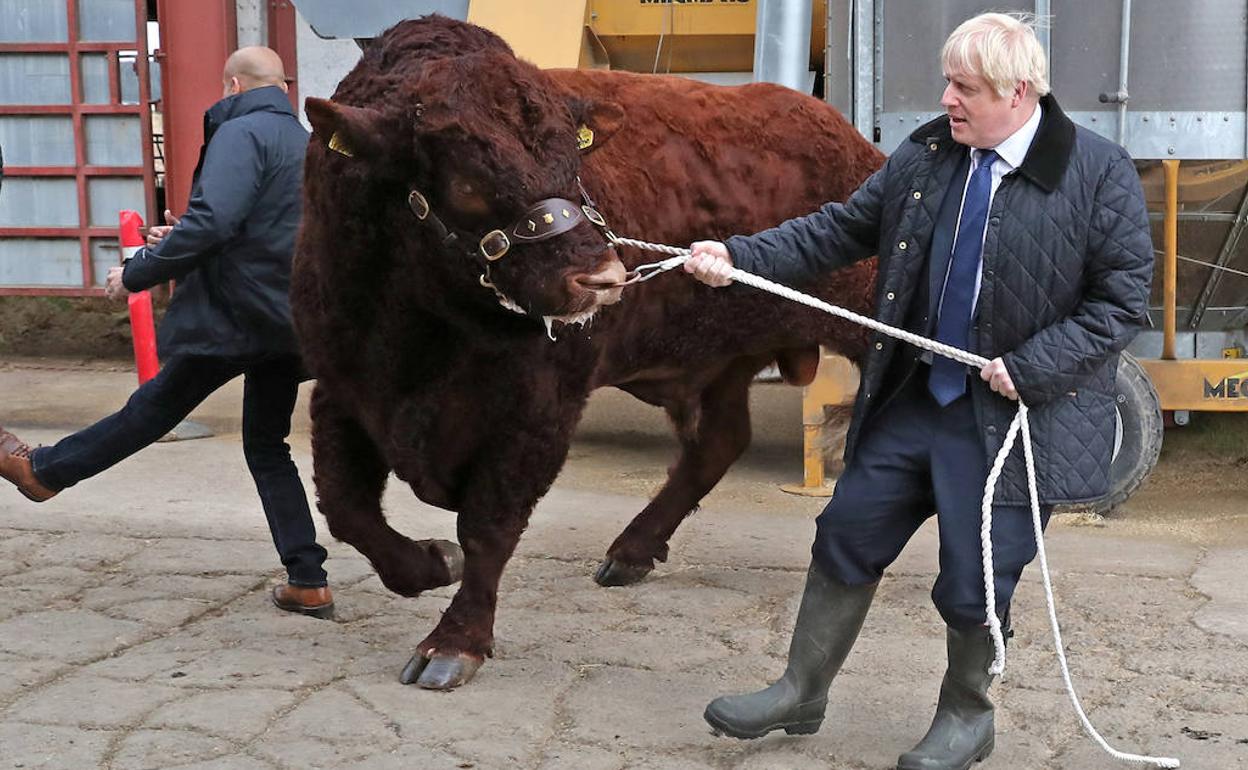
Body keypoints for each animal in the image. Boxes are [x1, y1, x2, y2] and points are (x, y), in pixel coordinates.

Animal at [293, 14, 883, 688]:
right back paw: (631, 551)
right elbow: (346, 506)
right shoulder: (343, 386)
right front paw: (429, 563)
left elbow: (487, 525)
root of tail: (849, 138)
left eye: (573, 163)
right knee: (718, 442)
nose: (601, 278)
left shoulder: (540, 408)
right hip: (719, 362)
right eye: (466, 180)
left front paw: (453, 643)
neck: (422, 332)